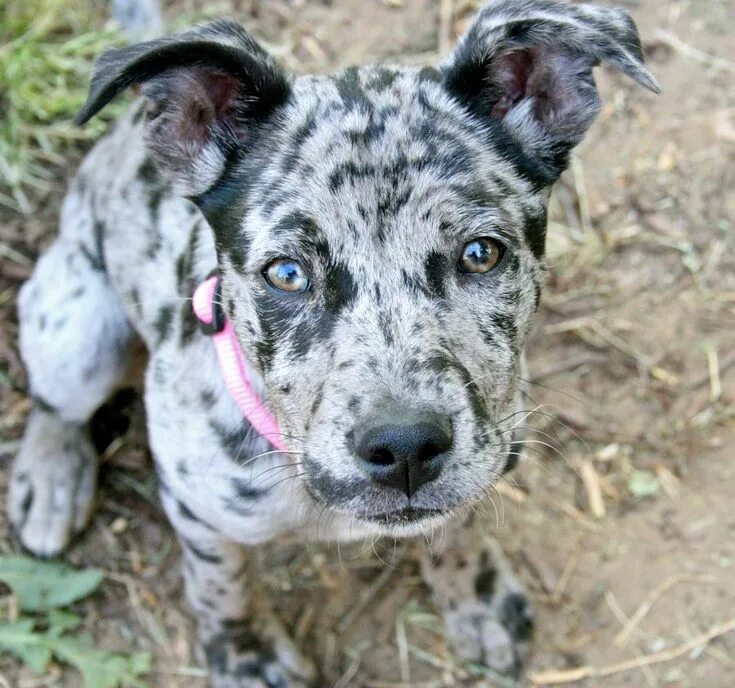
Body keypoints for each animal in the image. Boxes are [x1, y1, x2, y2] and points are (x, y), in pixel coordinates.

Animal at [8, 2, 660, 684]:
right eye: (288, 273)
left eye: (482, 254)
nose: (404, 447)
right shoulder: (197, 510)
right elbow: (223, 584)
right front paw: (248, 652)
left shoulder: (490, 445)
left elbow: (459, 526)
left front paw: (475, 596)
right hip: (78, 332)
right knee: (56, 405)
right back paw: (50, 481)